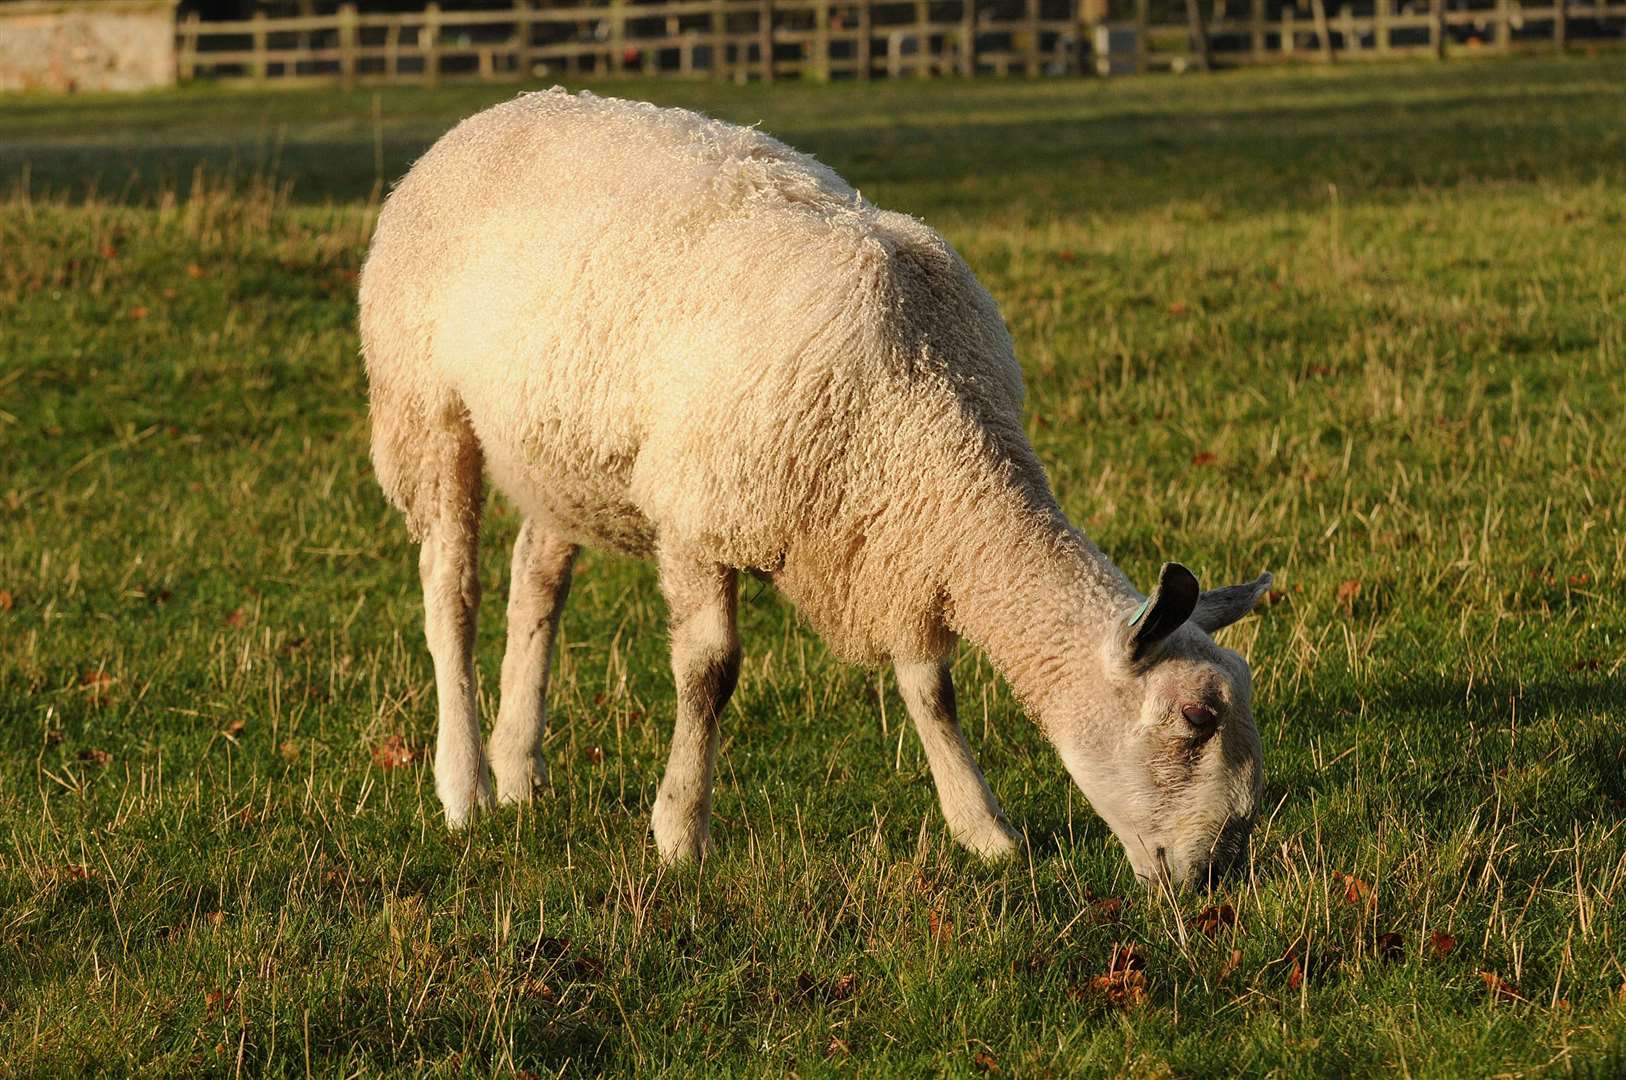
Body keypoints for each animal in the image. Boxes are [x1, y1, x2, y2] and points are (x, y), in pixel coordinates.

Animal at [362, 88, 1274, 891]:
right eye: (1198, 718)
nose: (1222, 868)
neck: (927, 396)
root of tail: (502, 109)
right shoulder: (701, 514)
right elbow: (710, 675)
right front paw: (679, 832)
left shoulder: (898, 535)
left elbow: (930, 686)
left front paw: (982, 828)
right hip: (425, 406)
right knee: (452, 592)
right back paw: (466, 785)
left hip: (559, 451)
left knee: (536, 581)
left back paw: (520, 767)